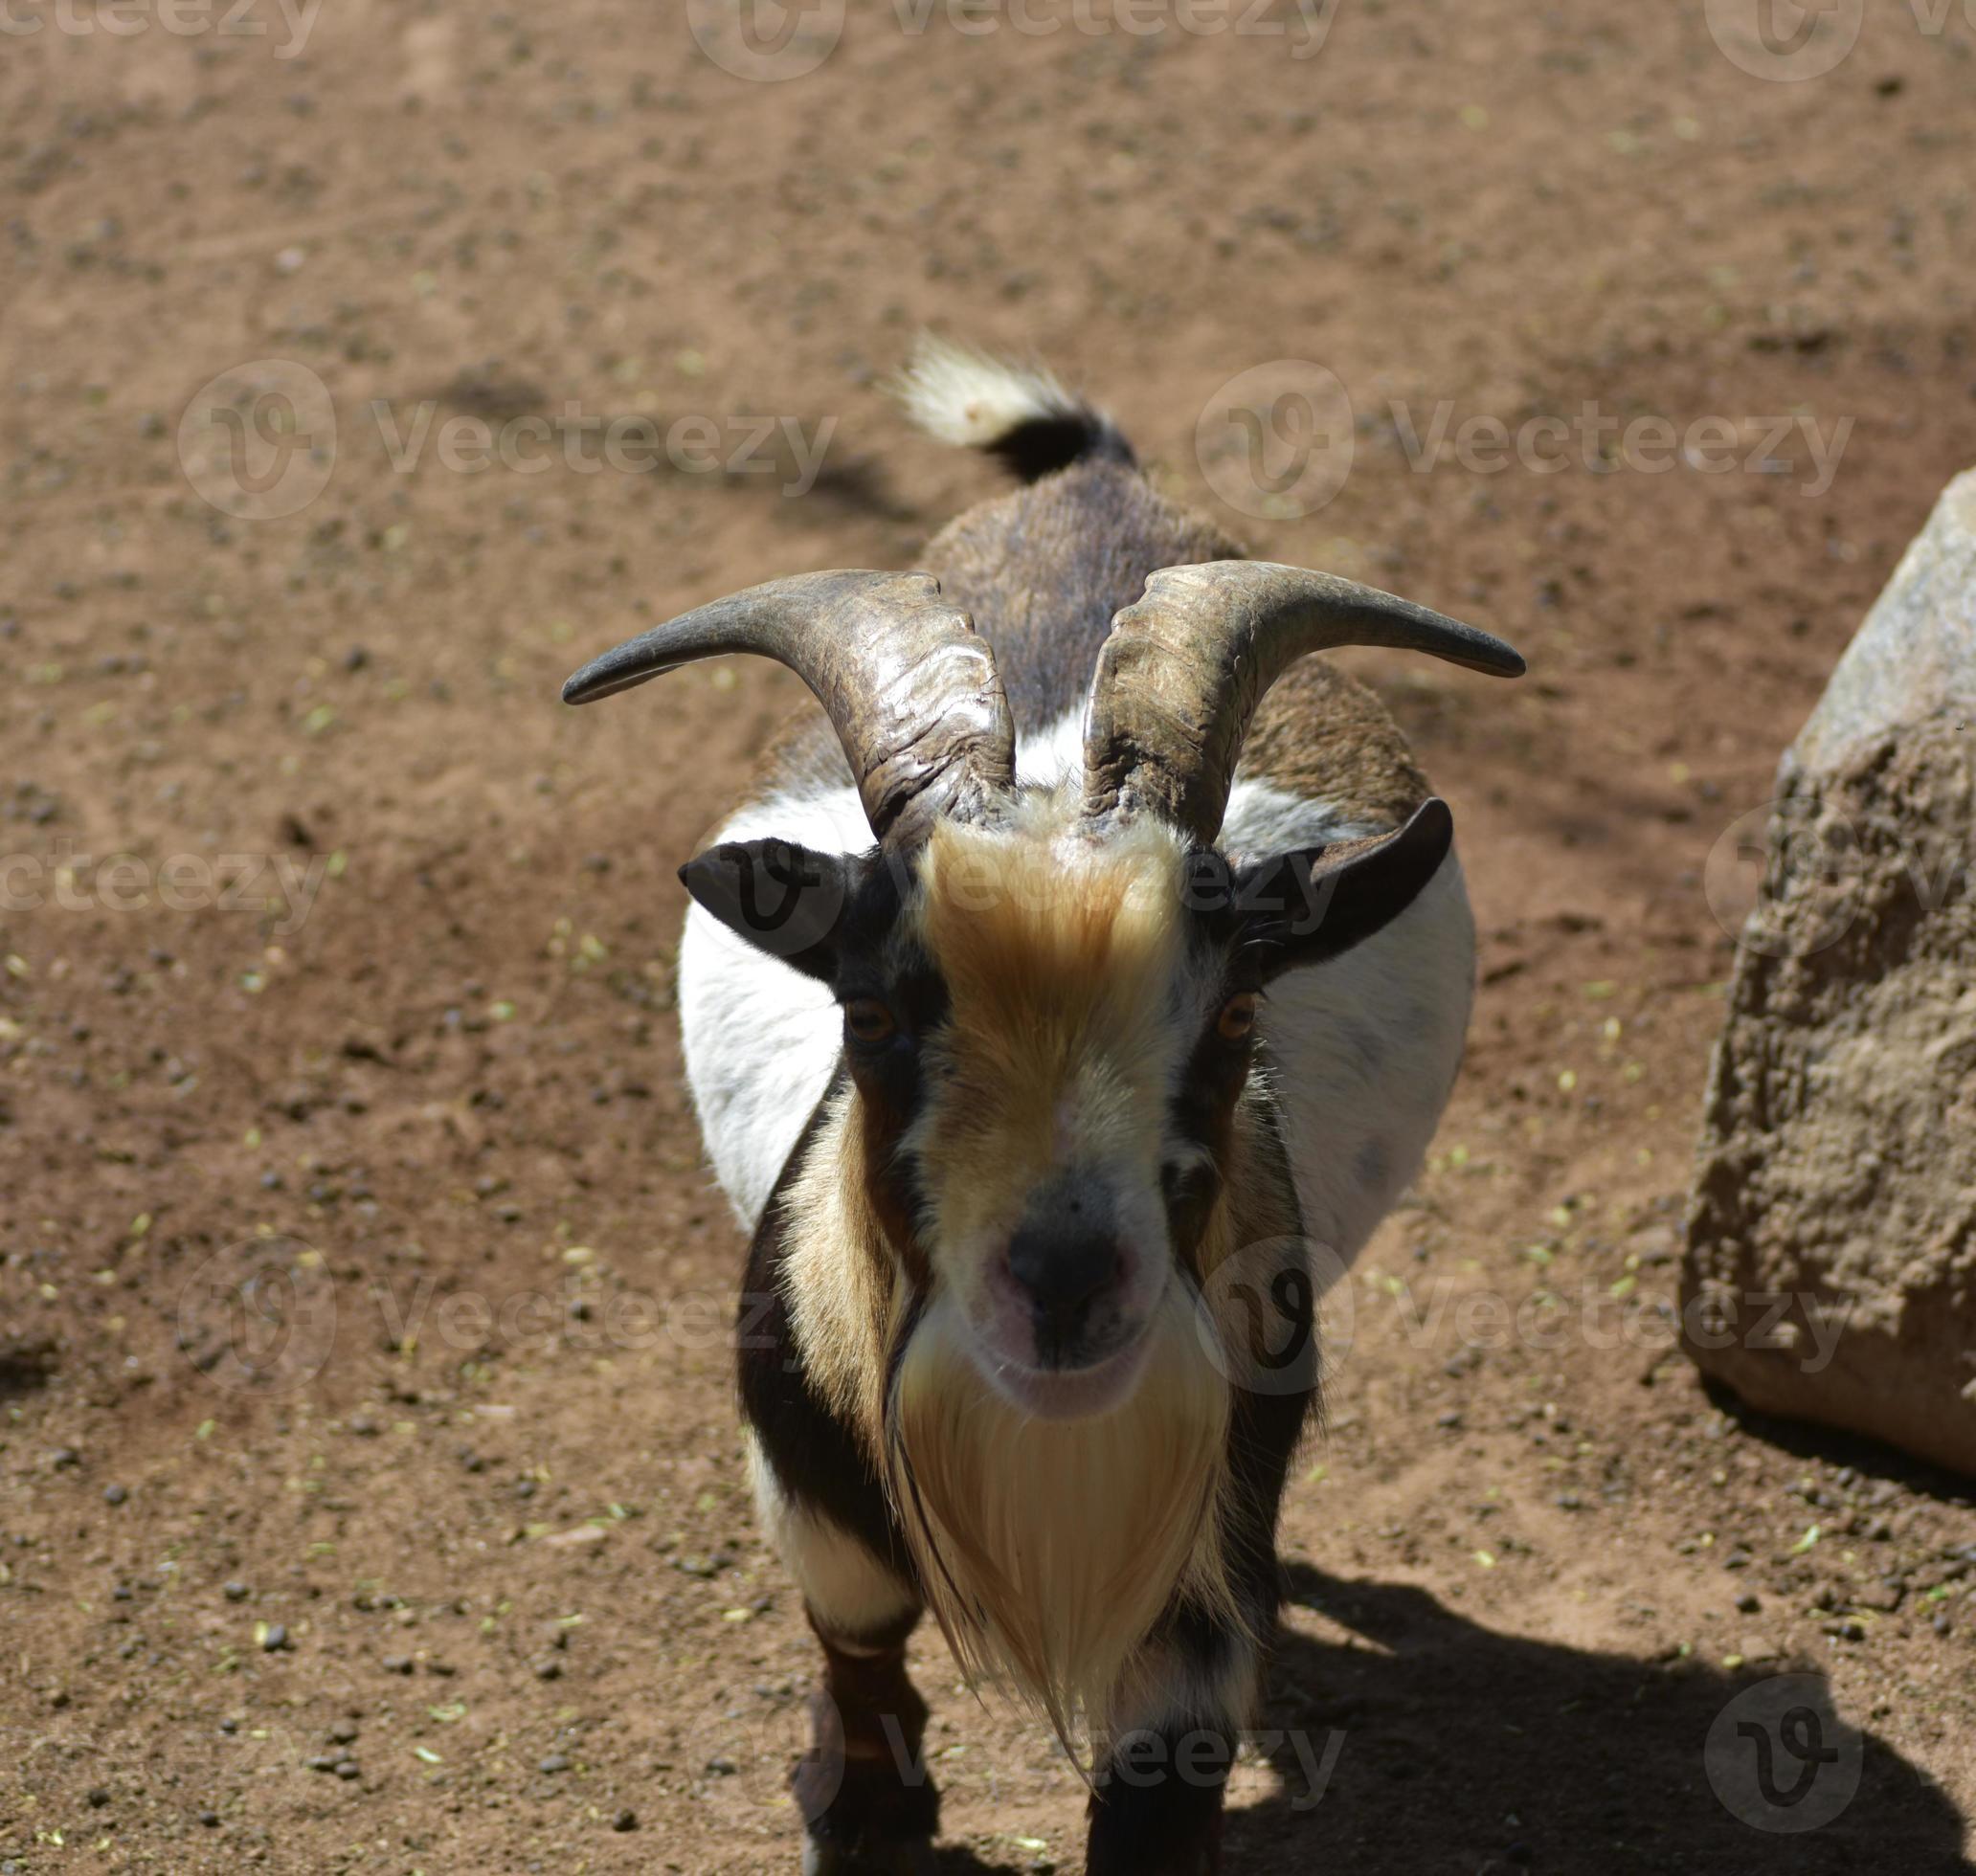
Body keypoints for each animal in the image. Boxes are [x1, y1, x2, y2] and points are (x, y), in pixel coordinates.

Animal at [563, 339, 1523, 1875]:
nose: (1065, 1285)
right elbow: (856, 1633)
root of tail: (1095, 482)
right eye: (873, 1014)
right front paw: (867, 1803)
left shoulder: (1196, 1591)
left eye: (1236, 1013)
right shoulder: (810, 1486)